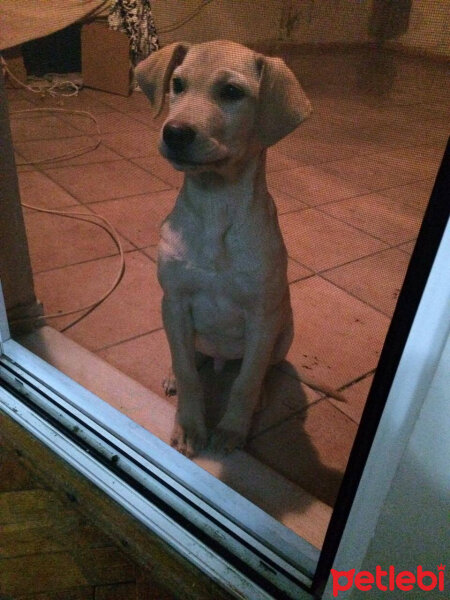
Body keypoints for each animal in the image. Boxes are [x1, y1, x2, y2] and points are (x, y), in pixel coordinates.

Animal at [136, 41, 312, 454]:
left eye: (232, 92)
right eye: (177, 84)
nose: (175, 133)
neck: (216, 205)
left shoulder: (262, 317)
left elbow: (246, 382)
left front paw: (232, 429)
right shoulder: (175, 301)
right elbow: (188, 373)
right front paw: (188, 426)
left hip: (284, 330)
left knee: (261, 369)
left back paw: (260, 395)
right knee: (188, 357)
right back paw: (173, 374)